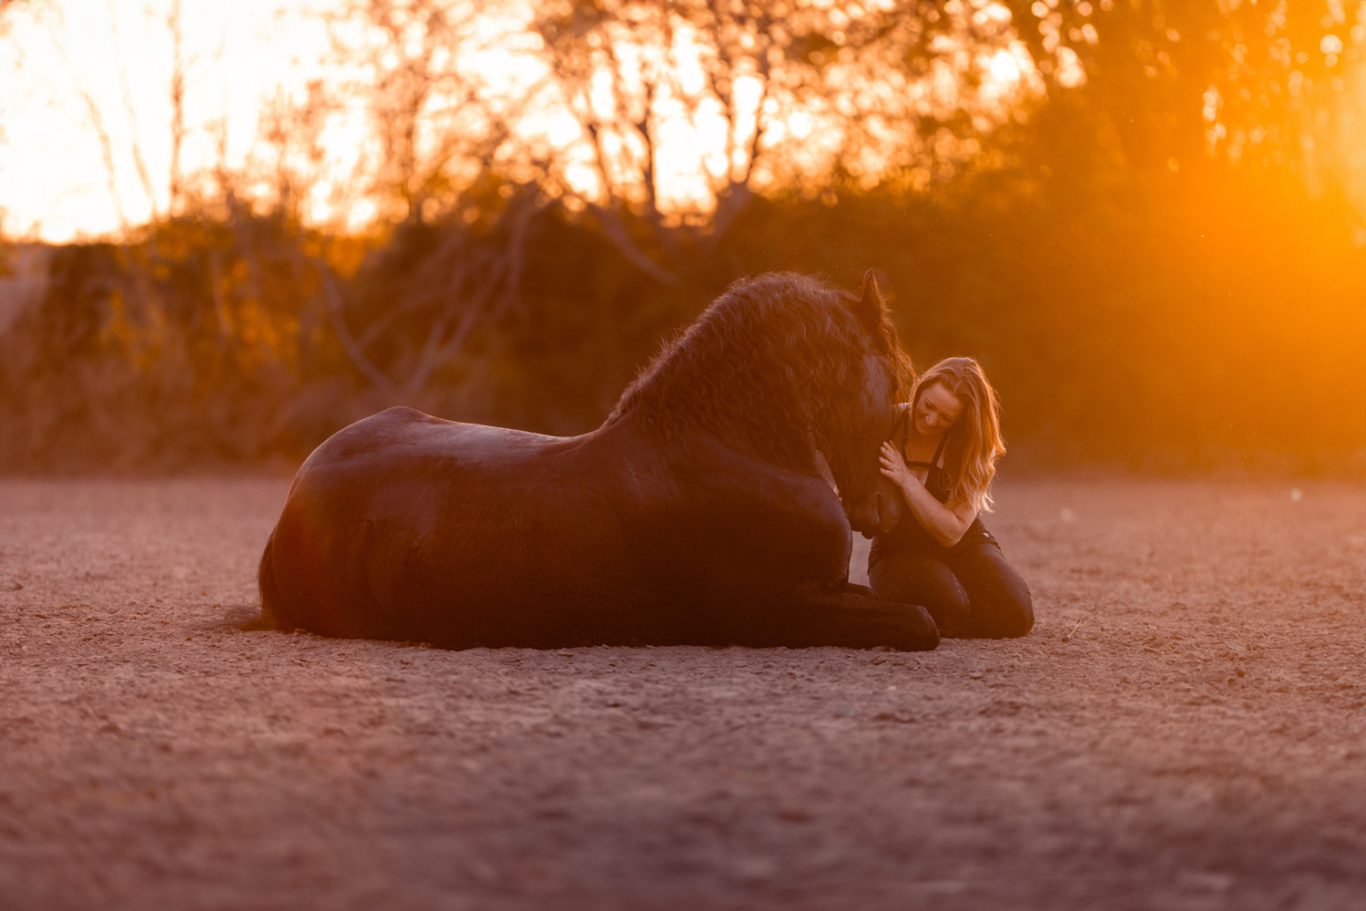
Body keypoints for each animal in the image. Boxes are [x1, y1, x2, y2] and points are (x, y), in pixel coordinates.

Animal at [258, 270, 939, 650]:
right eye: (902, 382)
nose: (889, 506)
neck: (732, 448)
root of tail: (291, 505)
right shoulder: (778, 612)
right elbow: (920, 623)